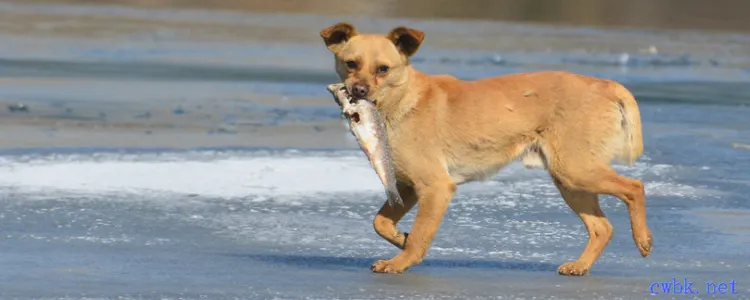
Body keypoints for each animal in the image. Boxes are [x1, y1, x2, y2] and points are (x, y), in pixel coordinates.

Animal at [320, 21, 656, 276]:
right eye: (351, 64)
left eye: (383, 69)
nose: (358, 91)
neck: (402, 102)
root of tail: (605, 84)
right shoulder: (407, 186)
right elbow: (380, 222)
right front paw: (401, 239)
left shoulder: (435, 186)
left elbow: (419, 235)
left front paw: (401, 261)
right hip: (570, 181)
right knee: (602, 228)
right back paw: (580, 266)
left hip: (576, 170)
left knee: (634, 187)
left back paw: (643, 240)